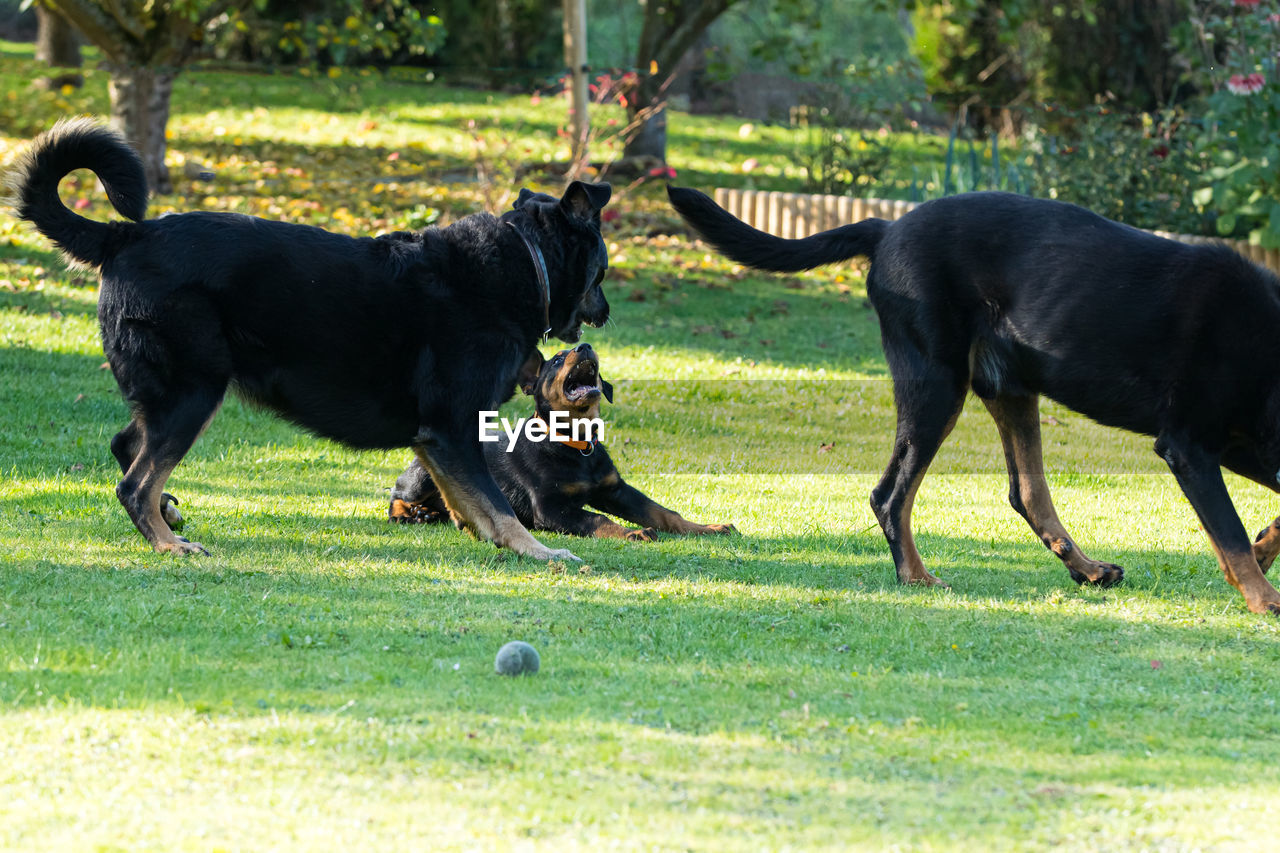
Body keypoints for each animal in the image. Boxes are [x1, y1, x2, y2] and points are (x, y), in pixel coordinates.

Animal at [7, 116, 611, 560]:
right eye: (602, 271)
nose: (604, 313)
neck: (524, 262)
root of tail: (125, 235)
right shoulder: (452, 426)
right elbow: (499, 506)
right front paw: (539, 552)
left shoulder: (436, 438)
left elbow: (470, 504)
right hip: (193, 390)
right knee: (135, 482)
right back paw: (168, 543)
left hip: (173, 392)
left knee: (127, 447)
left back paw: (169, 516)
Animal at [384, 338, 737, 537]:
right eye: (556, 359)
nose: (585, 347)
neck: (575, 445)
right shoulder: (550, 508)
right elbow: (595, 519)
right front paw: (632, 533)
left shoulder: (616, 490)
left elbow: (663, 512)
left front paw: (708, 528)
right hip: (424, 477)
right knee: (396, 497)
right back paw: (413, 514)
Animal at [665, 184, 1280, 612]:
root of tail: (887, 228)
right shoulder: (1189, 447)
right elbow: (1228, 531)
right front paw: (1265, 597)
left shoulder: (1241, 447)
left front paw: (1266, 548)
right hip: (936, 385)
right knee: (891, 494)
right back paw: (916, 577)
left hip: (1010, 387)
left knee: (1026, 493)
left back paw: (1085, 569)